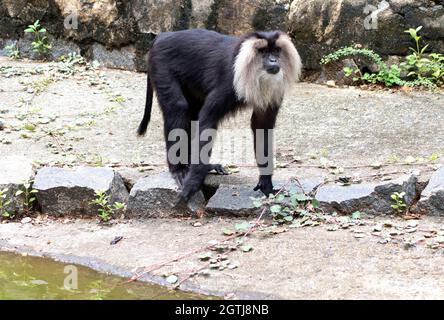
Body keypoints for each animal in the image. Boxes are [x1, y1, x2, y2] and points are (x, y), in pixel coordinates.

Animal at [137, 28, 300, 201]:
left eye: (276, 51)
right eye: (263, 52)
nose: (274, 61)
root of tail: (161, 37)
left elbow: (262, 126)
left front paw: (266, 184)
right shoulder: (228, 82)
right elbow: (208, 120)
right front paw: (192, 183)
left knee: (191, 113)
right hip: (161, 66)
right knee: (177, 107)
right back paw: (179, 169)